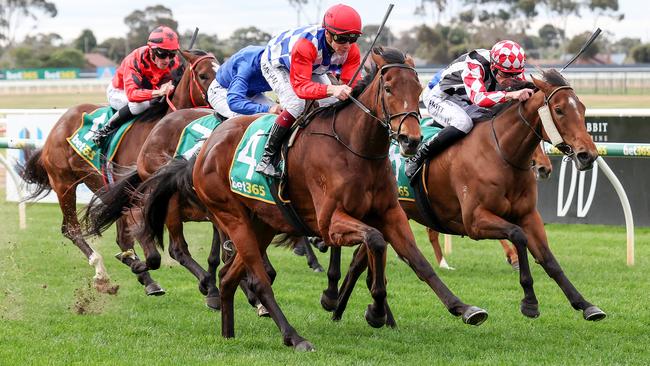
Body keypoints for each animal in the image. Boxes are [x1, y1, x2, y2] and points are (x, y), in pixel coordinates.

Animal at [17, 49, 215, 294]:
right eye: (204, 75)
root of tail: (60, 122)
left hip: (101, 185)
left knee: (119, 237)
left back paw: (145, 278)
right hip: (64, 184)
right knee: (71, 229)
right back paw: (101, 270)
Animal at [134, 47, 484, 350]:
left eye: (419, 88)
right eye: (387, 88)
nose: (411, 140)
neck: (355, 148)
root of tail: (203, 150)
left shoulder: (389, 213)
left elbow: (418, 261)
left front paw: (463, 307)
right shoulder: (329, 222)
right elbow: (375, 242)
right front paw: (374, 309)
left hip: (261, 223)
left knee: (229, 274)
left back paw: (228, 331)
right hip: (231, 217)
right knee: (258, 280)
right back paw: (294, 337)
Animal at [326, 68, 604, 324]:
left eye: (582, 108)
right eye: (559, 110)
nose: (588, 155)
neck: (501, 153)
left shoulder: (528, 216)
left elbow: (549, 260)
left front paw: (585, 304)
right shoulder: (475, 221)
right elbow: (517, 236)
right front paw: (530, 301)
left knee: (359, 261)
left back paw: (349, 311)